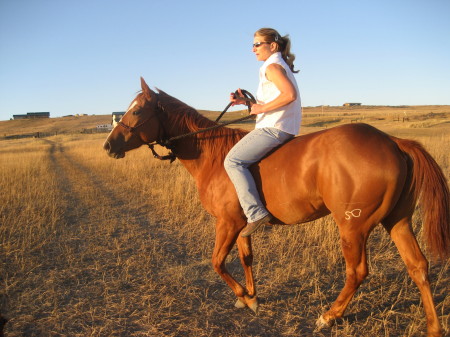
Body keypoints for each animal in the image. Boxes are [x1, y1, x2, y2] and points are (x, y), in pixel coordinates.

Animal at [103, 77, 448, 334]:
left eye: (137, 111)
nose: (108, 145)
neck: (213, 155)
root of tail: (393, 142)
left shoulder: (227, 223)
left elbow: (217, 262)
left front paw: (245, 297)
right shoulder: (242, 225)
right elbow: (246, 258)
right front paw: (251, 296)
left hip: (353, 227)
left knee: (357, 272)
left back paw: (329, 315)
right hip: (398, 221)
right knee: (418, 266)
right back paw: (432, 327)